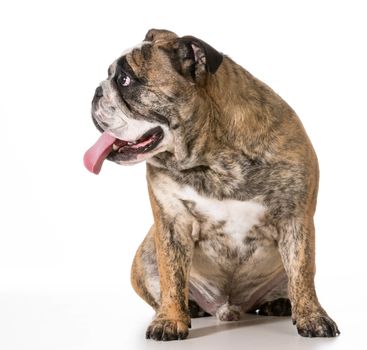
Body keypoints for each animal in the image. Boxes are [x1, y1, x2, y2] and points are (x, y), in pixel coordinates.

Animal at [83, 28, 340, 340]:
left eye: (124, 80)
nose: (96, 91)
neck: (212, 156)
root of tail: (230, 307)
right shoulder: (171, 222)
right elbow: (172, 277)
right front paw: (170, 320)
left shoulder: (295, 218)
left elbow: (302, 272)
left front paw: (312, 317)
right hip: (145, 255)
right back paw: (190, 308)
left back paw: (278, 303)